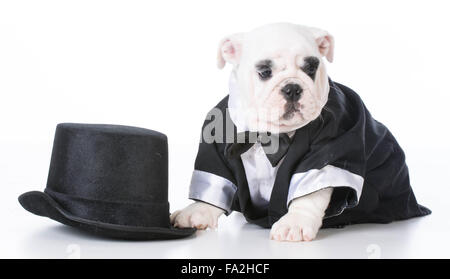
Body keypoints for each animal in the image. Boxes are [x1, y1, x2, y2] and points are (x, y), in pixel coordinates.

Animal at [171, 23, 336, 242]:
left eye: (311, 69)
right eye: (265, 72)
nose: (292, 88)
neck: (269, 133)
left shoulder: (327, 146)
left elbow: (310, 191)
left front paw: (296, 221)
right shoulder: (216, 145)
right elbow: (215, 181)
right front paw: (197, 210)